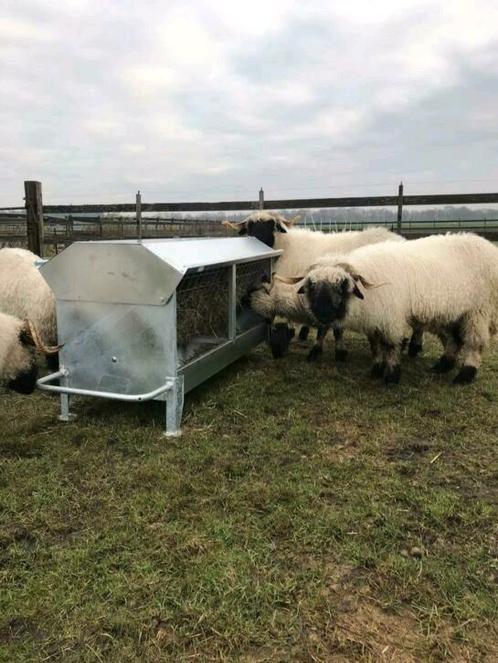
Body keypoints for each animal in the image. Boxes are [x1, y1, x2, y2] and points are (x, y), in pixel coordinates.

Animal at [282, 232, 498, 384]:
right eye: (311, 286)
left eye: (342, 285)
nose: (323, 312)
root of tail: (490, 248)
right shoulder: (375, 320)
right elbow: (376, 345)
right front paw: (377, 369)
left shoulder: (391, 319)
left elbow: (391, 346)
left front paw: (391, 376)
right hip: (454, 313)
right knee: (455, 340)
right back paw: (442, 366)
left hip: (478, 311)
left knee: (474, 343)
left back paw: (465, 374)